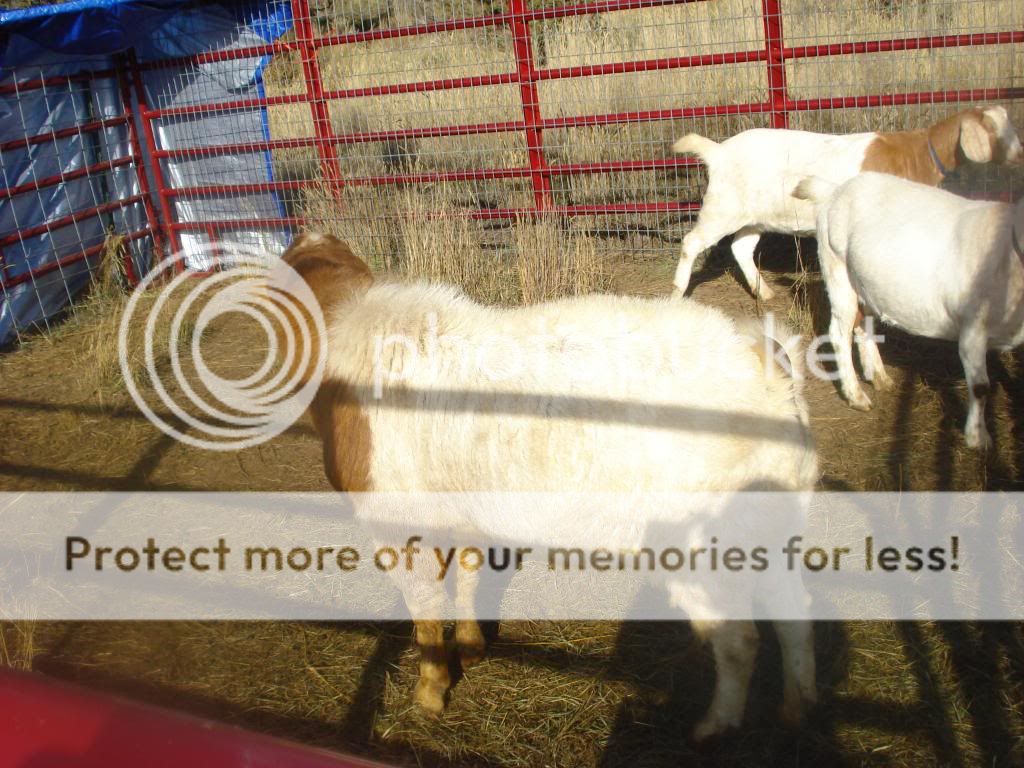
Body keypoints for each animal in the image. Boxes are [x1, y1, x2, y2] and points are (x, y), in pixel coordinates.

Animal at [272, 232, 820, 740]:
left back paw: (714, 727)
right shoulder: (465, 515)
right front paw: (471, 650)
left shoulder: (397, 523)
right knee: (794, 615)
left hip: (703, 548)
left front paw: (429, 695)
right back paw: (796, 710)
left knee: (739, 641)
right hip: (774, 525)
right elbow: (468, 574)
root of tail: (766, 360)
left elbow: (424, 610)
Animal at [672, 106, 1023, 301]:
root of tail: (717, 152)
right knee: (692, 242)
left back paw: (765, 292)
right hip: (721, 208)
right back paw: (678, 290)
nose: (1020, 153)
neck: (916, 154)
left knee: (741, 248)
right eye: (994, 130)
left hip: (754, 215)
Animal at [793, 171, 1024, 450]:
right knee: (839, 333)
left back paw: (879, 377)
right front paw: (978, 438)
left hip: (864, 282)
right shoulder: (972, 329)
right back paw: (856, 395)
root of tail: (835, 190)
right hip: (837, 269)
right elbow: (981, 387)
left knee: (863, 324)